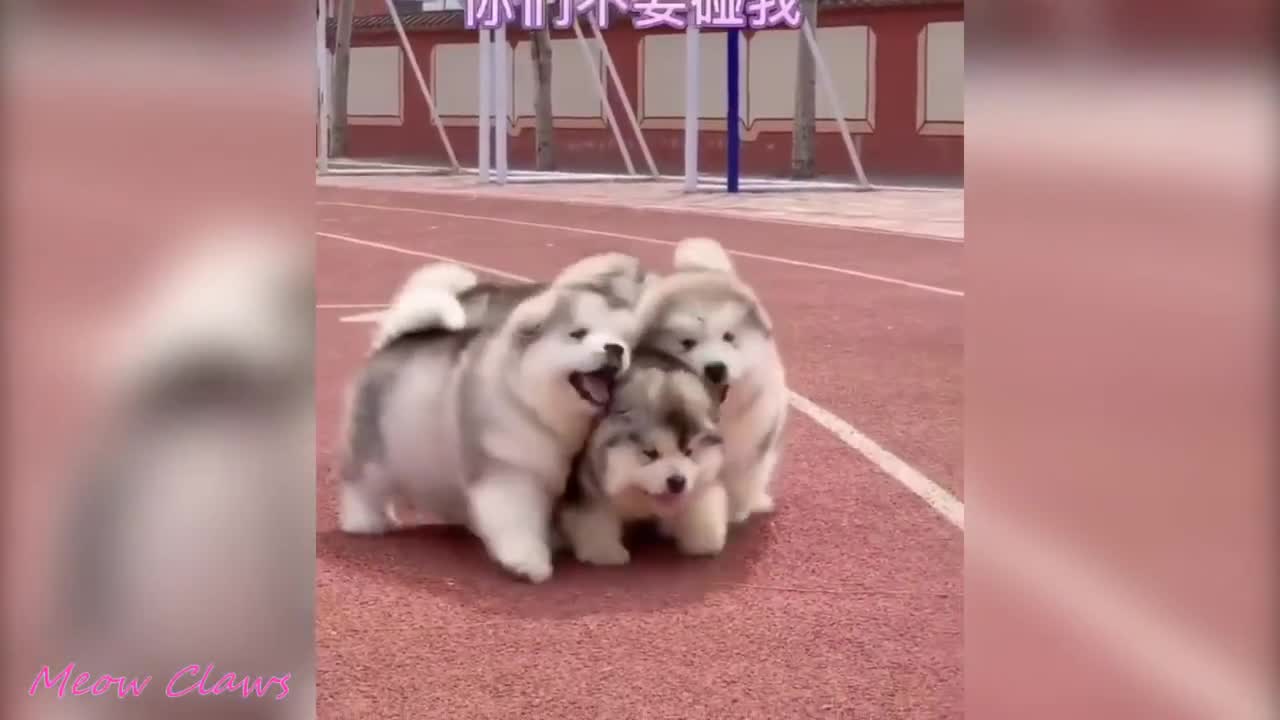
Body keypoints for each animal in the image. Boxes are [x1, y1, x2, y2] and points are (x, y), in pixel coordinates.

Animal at [337, 254, 645, 579]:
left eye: (624, 341)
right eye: (578, 334)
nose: (615, 348)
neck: (525, 400)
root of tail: (393, 342)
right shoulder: (508, 472)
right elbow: (515, 520)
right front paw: (527, 561)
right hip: (373, 452)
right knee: (361, 487)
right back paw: (365, 523)